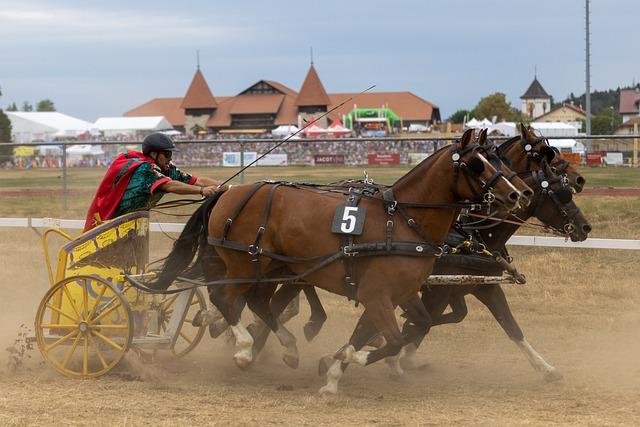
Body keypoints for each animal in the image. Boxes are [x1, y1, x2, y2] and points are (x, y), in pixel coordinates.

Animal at [154, 128, 524, 394]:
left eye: (499, 161)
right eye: (477, 164)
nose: (516, 194)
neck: (402, 221)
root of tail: (227, 193)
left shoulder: (401, 295)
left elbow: (411, 326)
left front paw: (335, 373)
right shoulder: (377, 295)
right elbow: (391, 339)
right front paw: (344, 357)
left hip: (271, 266)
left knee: (258, 302)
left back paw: (287, 348)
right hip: (244, 264)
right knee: (224, 297)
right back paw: (244, 347)